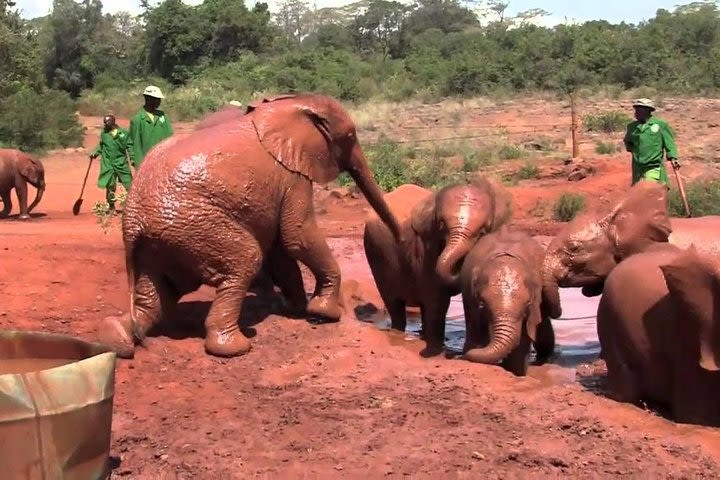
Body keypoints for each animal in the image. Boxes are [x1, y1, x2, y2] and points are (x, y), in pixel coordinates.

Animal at [360, 179, 512, 356]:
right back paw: (399, 333)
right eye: (441, 225)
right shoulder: (426, 247)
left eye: (483, 231)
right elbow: (437, 298)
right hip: (377, 256)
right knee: (394, 303)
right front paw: (438, 349)